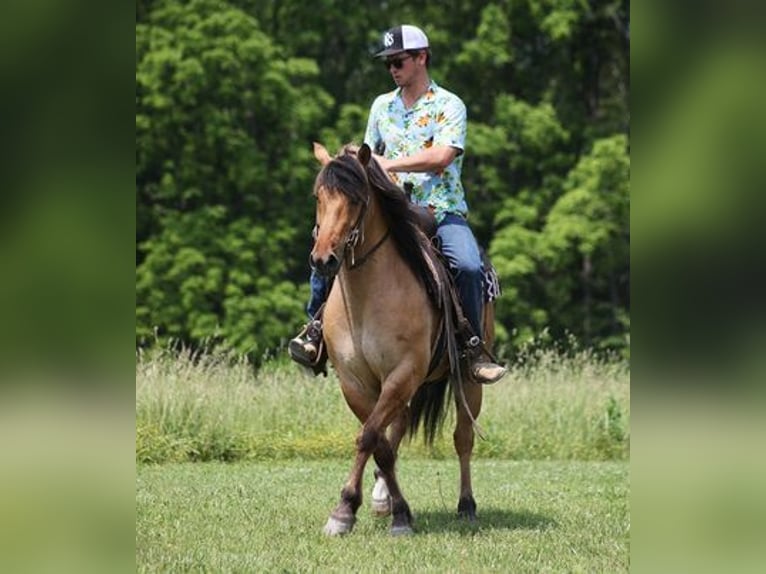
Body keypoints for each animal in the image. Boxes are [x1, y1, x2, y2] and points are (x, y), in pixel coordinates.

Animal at [310, 142, 498, 536]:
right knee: (399, 426)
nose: (323, 260)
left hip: (467, 382)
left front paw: (351, 511)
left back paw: (467, 504)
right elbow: (378, 441)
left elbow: (369, 436)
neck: (367, 297)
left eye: (356, 199)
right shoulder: (355, 381)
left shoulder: (403, 373)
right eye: (319, 196)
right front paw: (368, 509)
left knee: (463, 438)